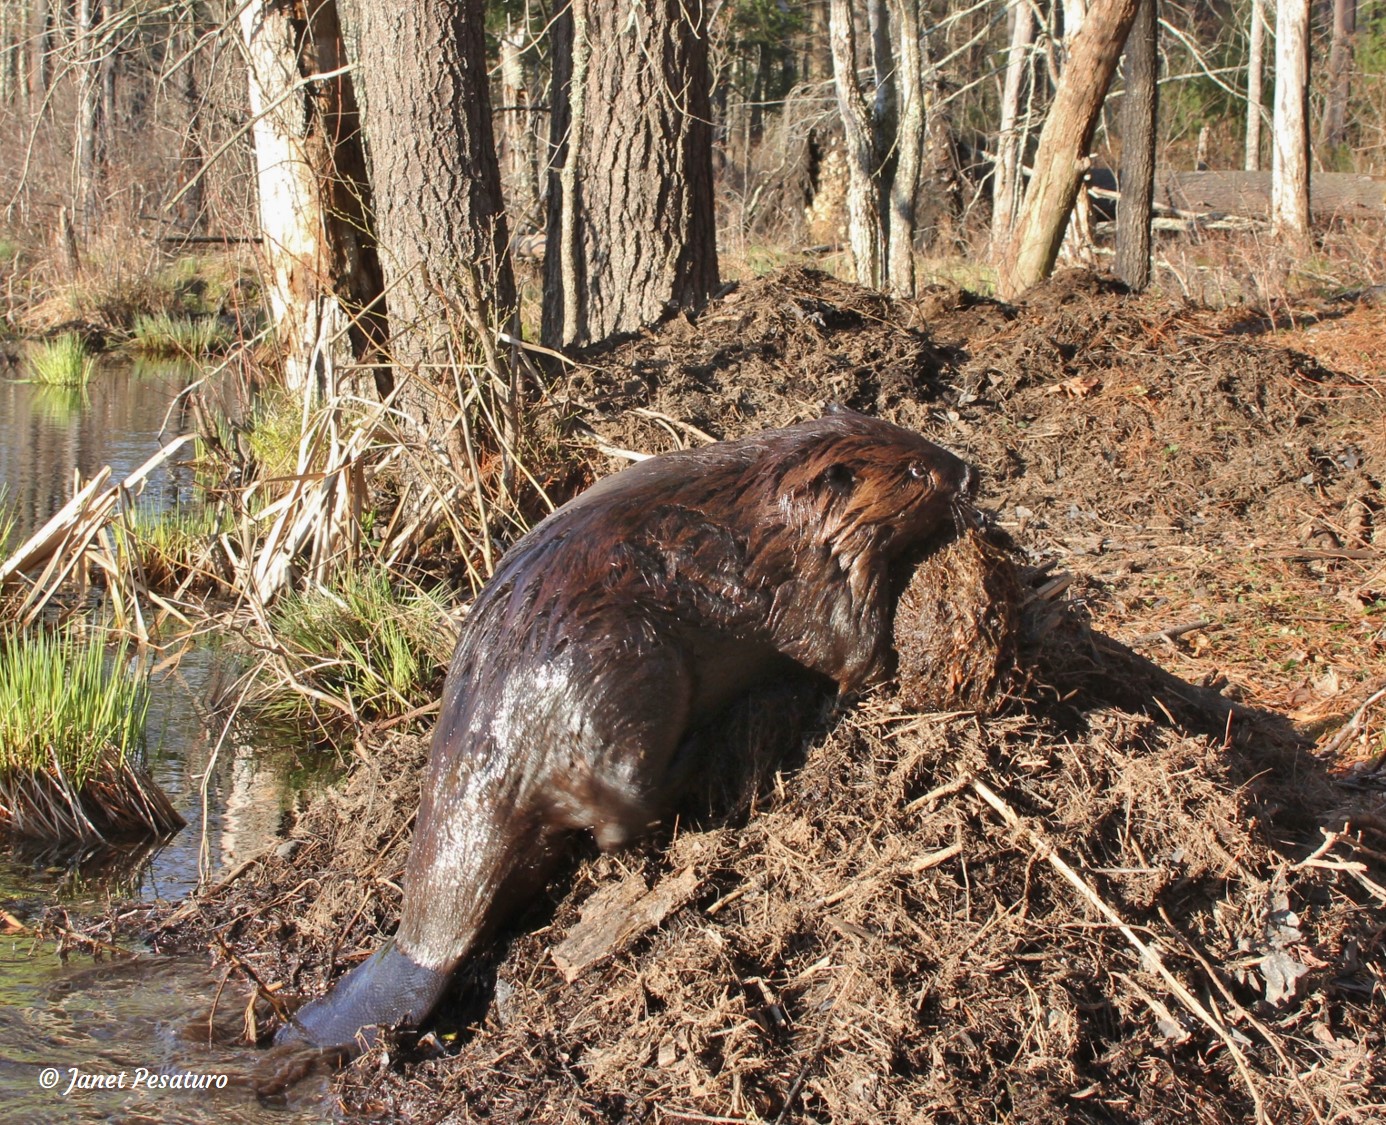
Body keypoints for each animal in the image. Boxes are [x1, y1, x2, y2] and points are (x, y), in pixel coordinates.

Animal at [275, 407, 975, 1052]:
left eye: (916, 441)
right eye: (916, 472)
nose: (967, 471)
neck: (773, 504)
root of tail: (418, 951)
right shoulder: (813, 578)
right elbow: (851, 653)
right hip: (632, 669)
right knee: (615, 816)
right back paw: (699, 764)